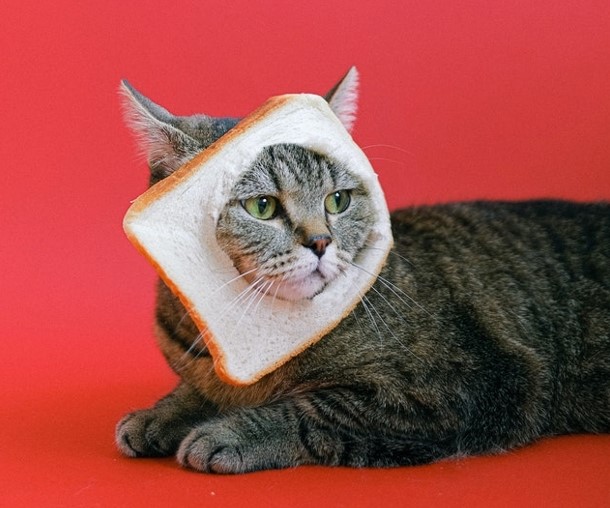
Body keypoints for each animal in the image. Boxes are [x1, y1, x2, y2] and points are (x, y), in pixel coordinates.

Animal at [115, 67, 608, 472]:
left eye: (338, 200)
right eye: (262, 206)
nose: (320, 242)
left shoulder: (457, 386)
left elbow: (311, 411)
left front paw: (230, 432)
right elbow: (197, 390)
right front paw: (161, 413)